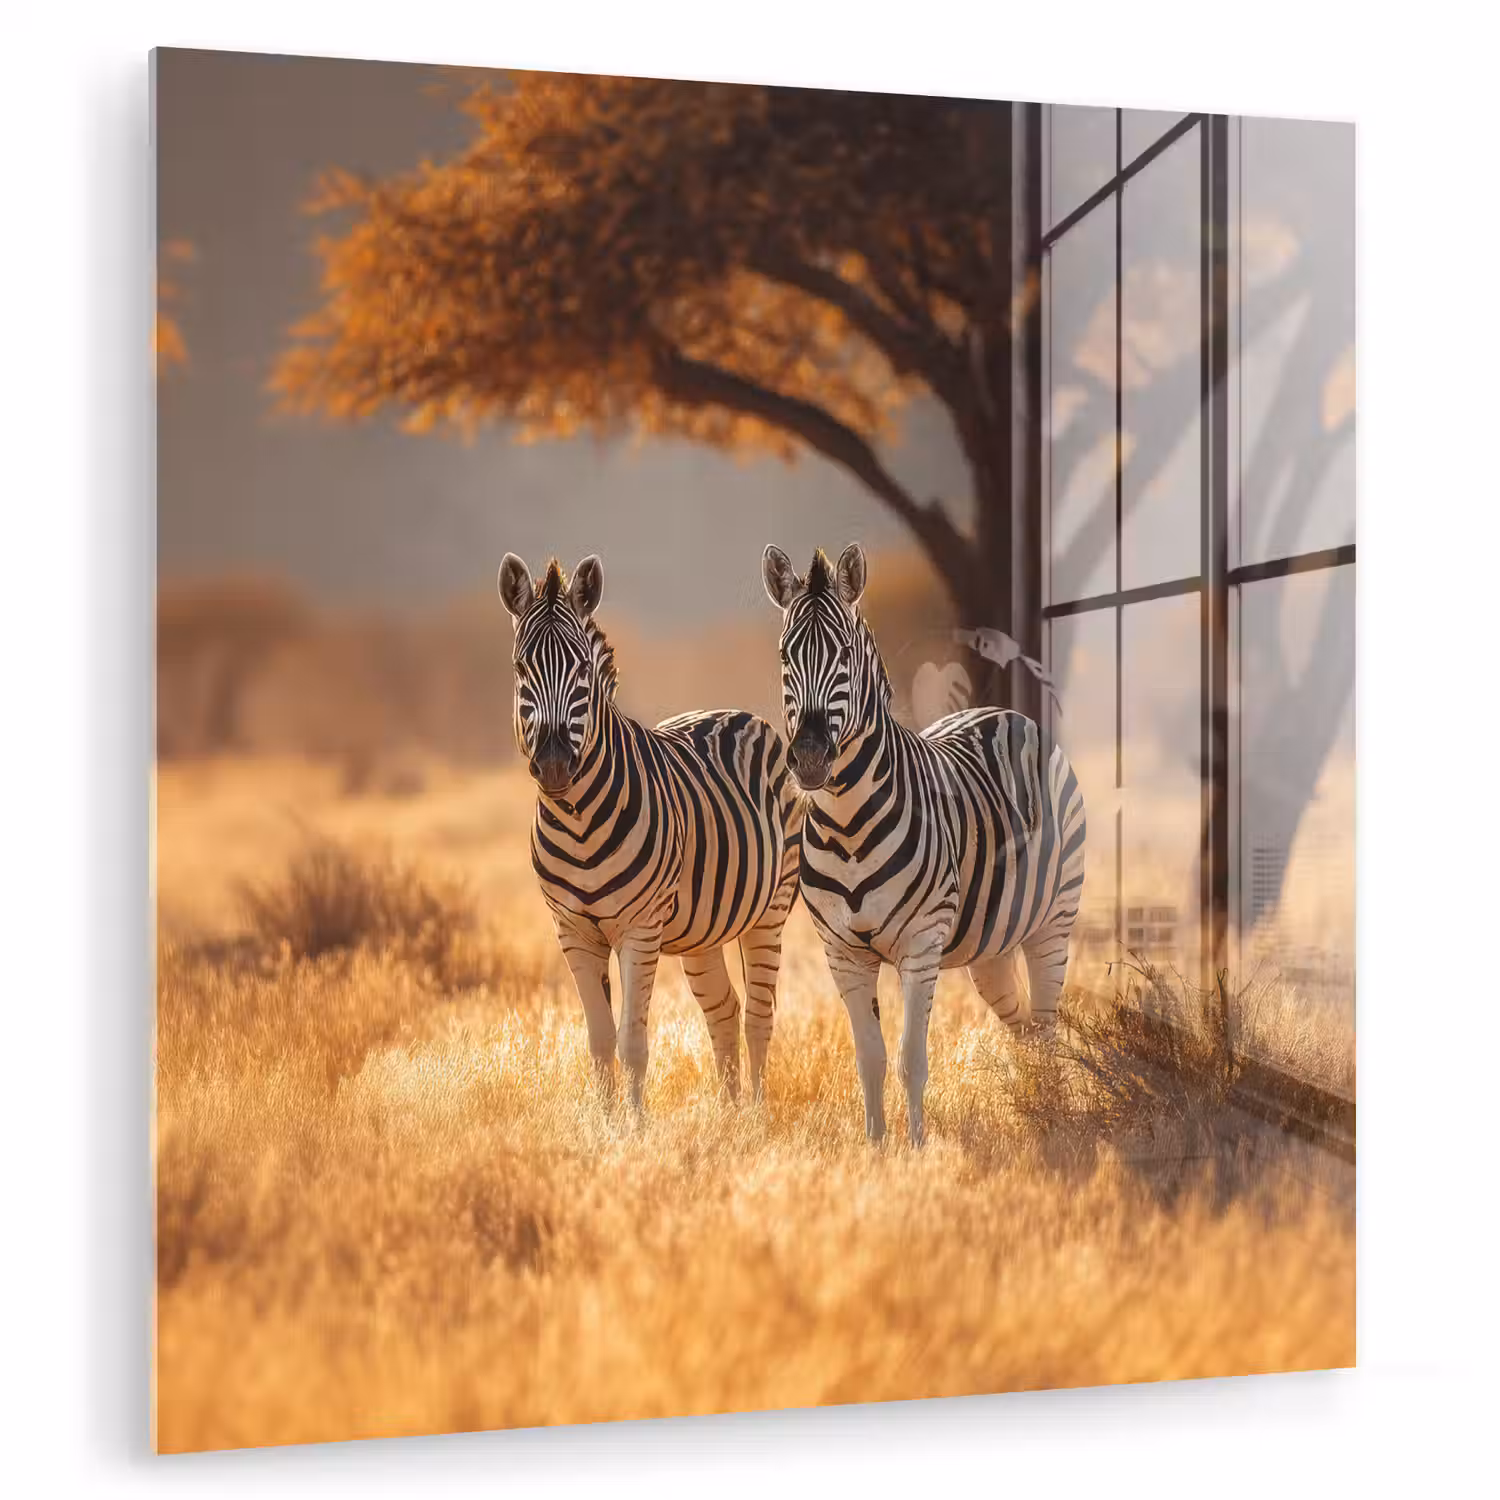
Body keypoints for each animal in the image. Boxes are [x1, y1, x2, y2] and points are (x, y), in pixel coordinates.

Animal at [499, 553, 803, 1110]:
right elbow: (599, 1042)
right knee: (724, 1010)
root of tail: (736, 712)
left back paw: (754, 1114)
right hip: (704, 928)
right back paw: (728, 1116)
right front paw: (605, 1123)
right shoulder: (573, 932)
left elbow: (632, 1043)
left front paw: (635, 1127)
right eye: (520, 669)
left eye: (582, 670)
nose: (553, 765)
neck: (577, 820)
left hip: (770, 909)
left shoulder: (639, 929)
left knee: (758, 1016)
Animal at [762, 542, 1086, 1146]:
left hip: (1054, 920)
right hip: (991, 945)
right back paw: (1036, 1108)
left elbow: (912, 1057)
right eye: (785, 656)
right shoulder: (842, 952)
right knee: (1024, 1027)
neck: (847, 824)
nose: (811, 757)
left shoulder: (921, 942)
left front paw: (916, 1149)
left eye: (845, 655)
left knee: (1047, 1024)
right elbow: (869, 1057)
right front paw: (875, 1147)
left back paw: (1057, 1115)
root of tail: (1002, 713)